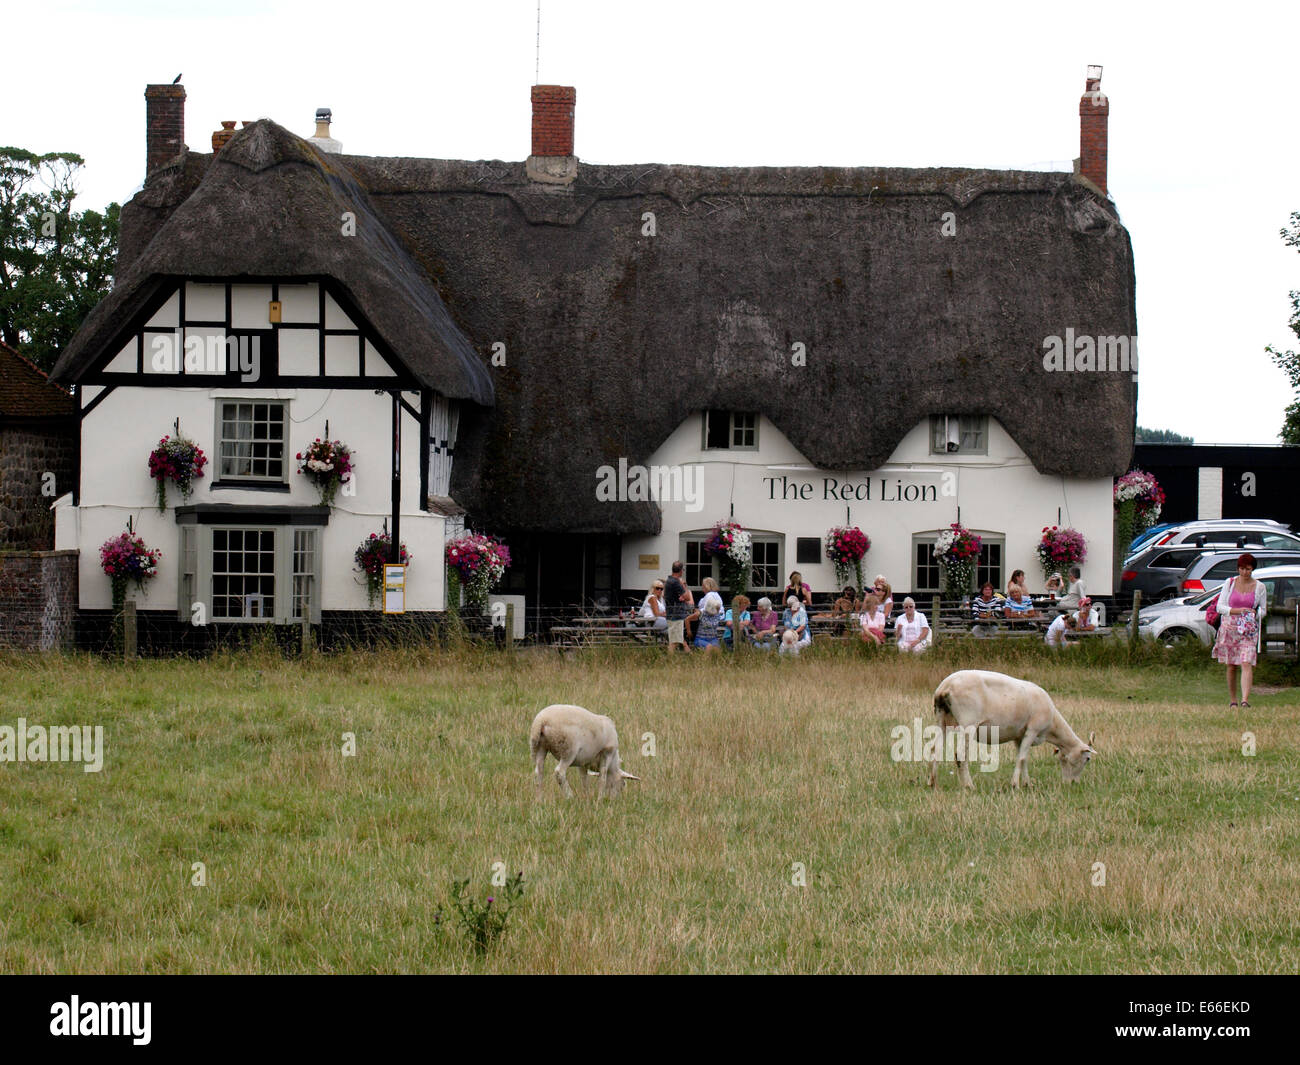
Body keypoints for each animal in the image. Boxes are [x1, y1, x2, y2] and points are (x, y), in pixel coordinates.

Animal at [925, 670, 1097, 785]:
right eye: (1087, 759)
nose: (1072, 783)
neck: (1052, 728)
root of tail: (945, 687)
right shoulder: (1032, 730)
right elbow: (1021, 758)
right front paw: (1015, 785)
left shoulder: (1018, 736)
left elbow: (1023, 758)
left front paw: (1027, 784)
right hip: (968, 723)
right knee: (960, 755)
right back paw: (968, 786)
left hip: (942, 720)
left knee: (934, 749)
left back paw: (932, 783)